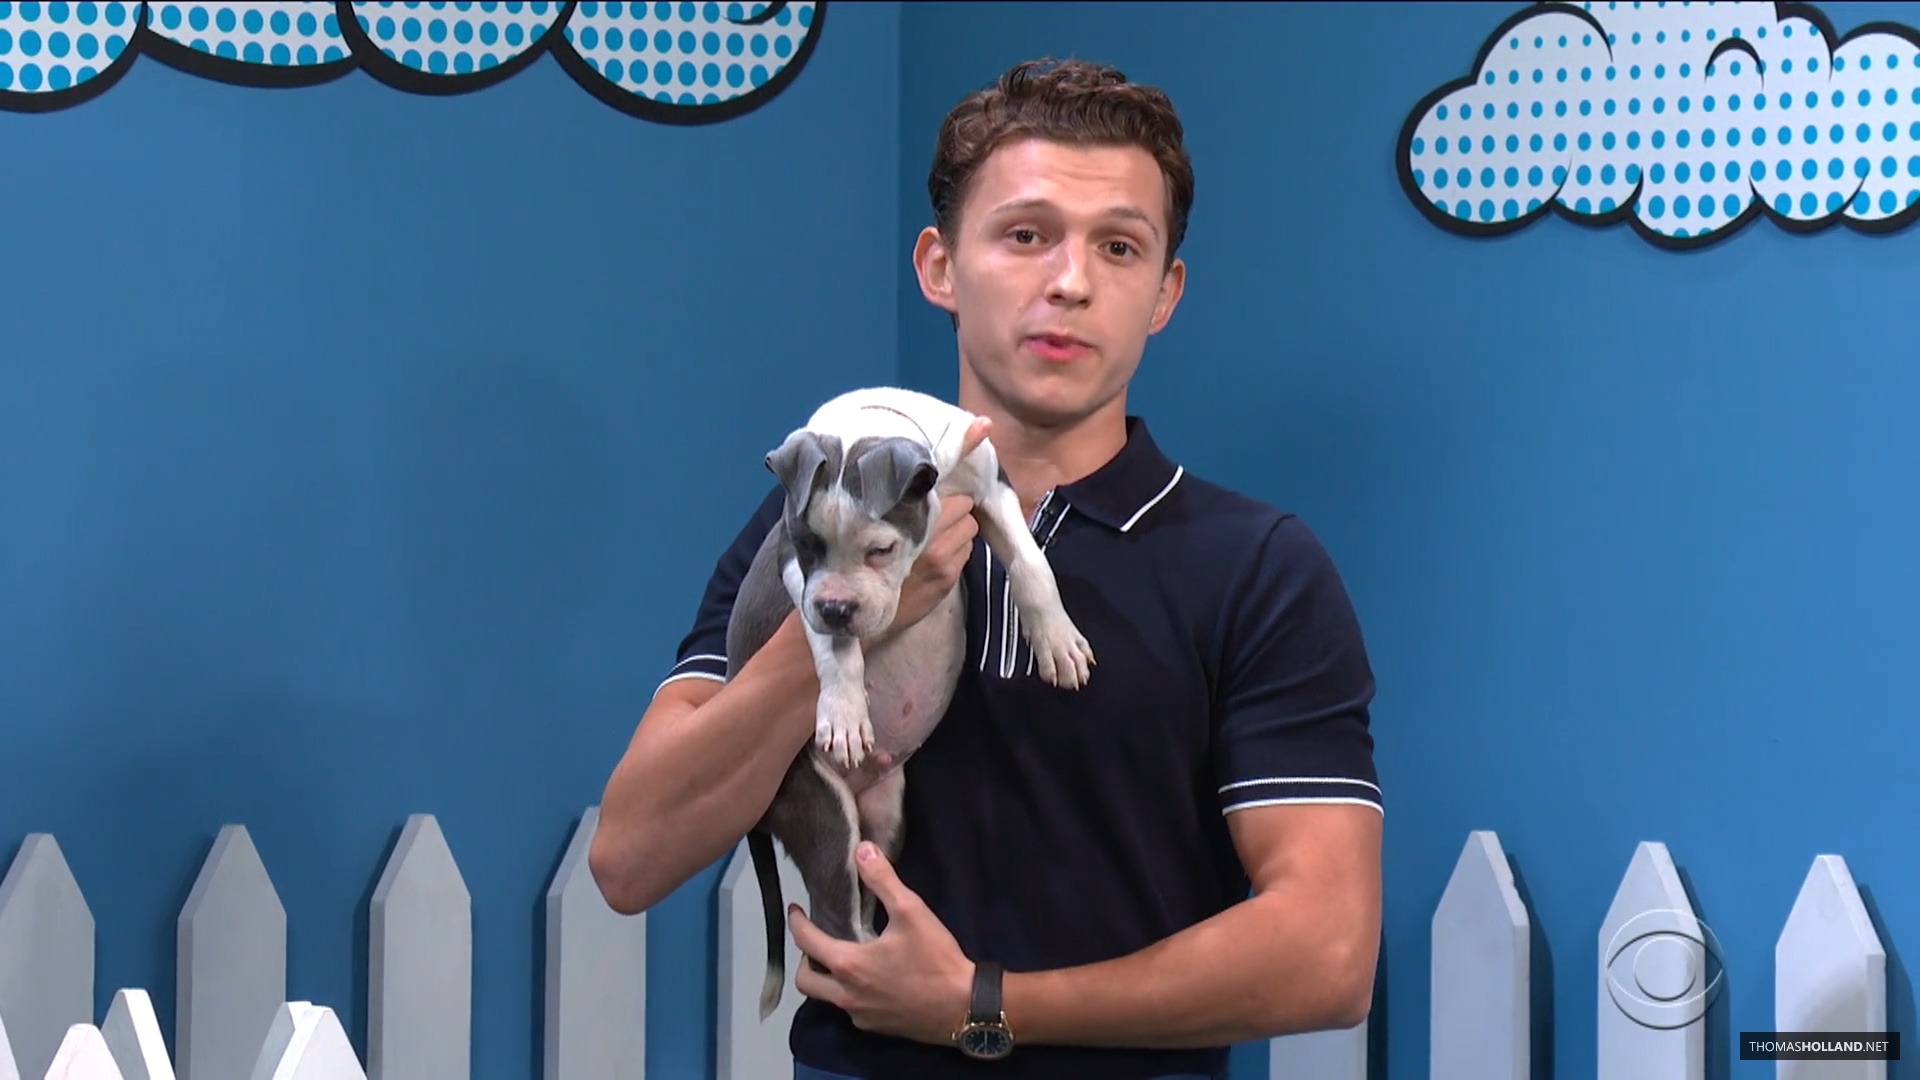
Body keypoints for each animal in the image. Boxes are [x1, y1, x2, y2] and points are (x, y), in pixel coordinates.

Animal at [724, 386, 1097, 1019]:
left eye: (881, 549)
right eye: (805, 542)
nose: (837, 608)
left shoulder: (993, 491)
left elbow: (1031, 563)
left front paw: (1056, 639)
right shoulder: (798, 576)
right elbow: (834, 648)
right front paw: (844, 711)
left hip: (886, 813)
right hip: (819, 807)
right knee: (835, 923)